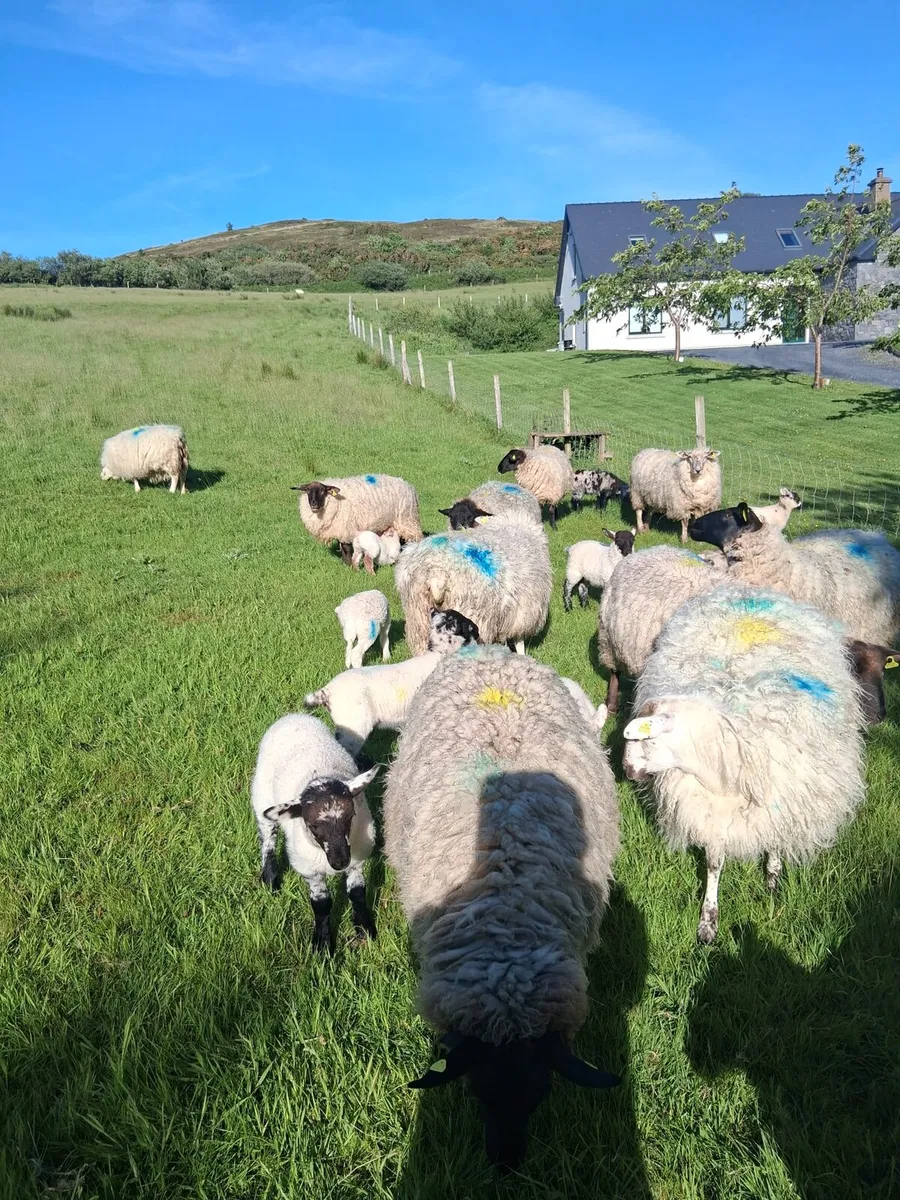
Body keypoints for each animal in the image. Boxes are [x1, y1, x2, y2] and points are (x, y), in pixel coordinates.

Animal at [250, 713, 380, 952]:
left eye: (351, 816)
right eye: (312, 825)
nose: (339, 862)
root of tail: (293, 716)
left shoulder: (357, 858)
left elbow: (357, 893)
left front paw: (365, 929)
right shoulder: (309, 869)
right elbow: (321, 904)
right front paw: (322, 943)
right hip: (261, 798)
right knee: (268, 840)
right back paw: (270, 878)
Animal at [291, 474, 422, 563]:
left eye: (323, 491)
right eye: (308, 490)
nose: (313, 504)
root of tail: (410, 486)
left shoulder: (347, 527)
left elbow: (347, 549)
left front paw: (349, 566)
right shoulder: (340, 529)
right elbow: (342, 548)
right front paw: (345, 564)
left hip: (408, 519)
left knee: (413, 539)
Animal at [622, 586, 868, 944]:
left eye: (646, 739)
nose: (627, 770)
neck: (727, 755)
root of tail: (746, 590)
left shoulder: (781, 806)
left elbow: (774, 846)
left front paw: (772, 881)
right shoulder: (711, 810)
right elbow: (714, 863)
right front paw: (708, 923)